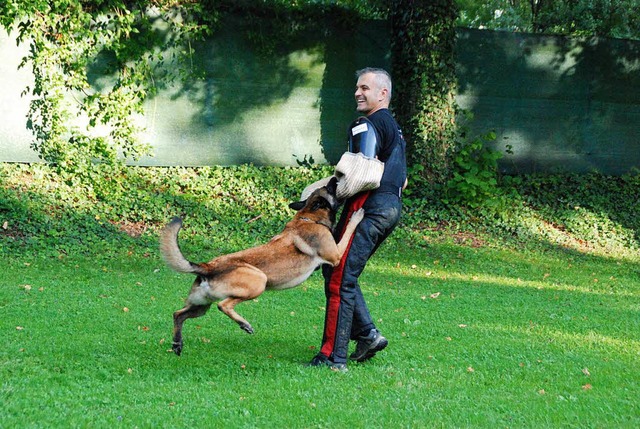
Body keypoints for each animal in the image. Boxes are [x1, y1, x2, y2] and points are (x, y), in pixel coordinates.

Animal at [159, 176, 362, 354]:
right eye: (330, 188)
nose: (334, 179)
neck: (309, 217)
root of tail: (208, 267)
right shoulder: (336, 255)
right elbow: (348, 231)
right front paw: (357, 216)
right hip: (259, 282)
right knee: (223, 305)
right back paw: (244, 324)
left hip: (201, 305)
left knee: (178, 314)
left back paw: (177, 343)